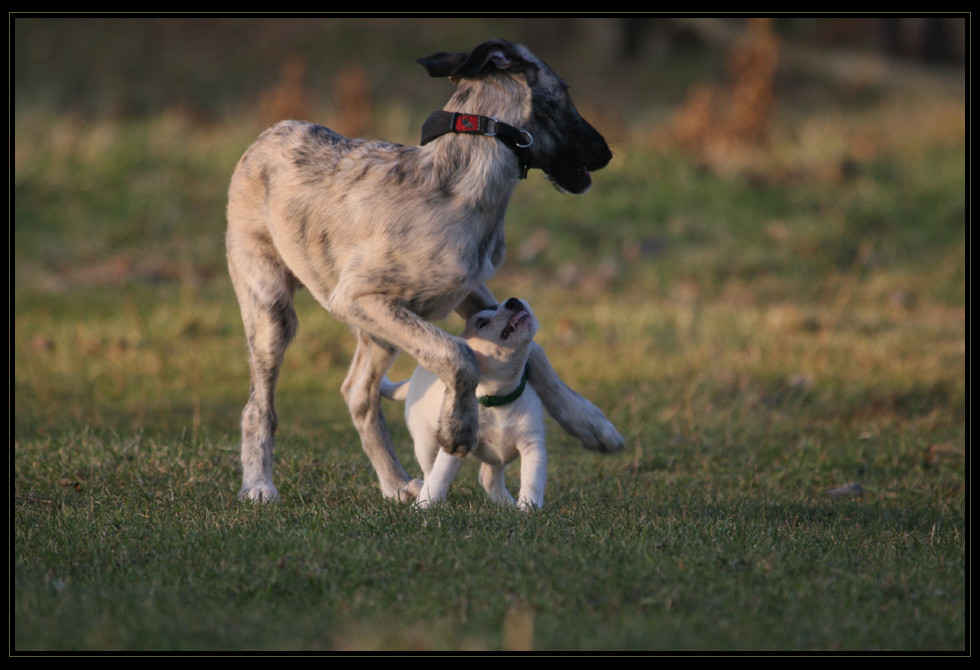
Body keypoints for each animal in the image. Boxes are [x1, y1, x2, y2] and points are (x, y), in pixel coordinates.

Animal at [382, 296, 548, 512]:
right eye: (482, 323)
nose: (513, 301)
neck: (498, 399)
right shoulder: (455, 445)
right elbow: (439, 478)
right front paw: (423, 507)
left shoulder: (532, 445)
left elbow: (532, 481)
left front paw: (528, 509)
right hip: (426, 443)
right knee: (430, 473)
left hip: (495, 458)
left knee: (489, 477)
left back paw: (507, 504)